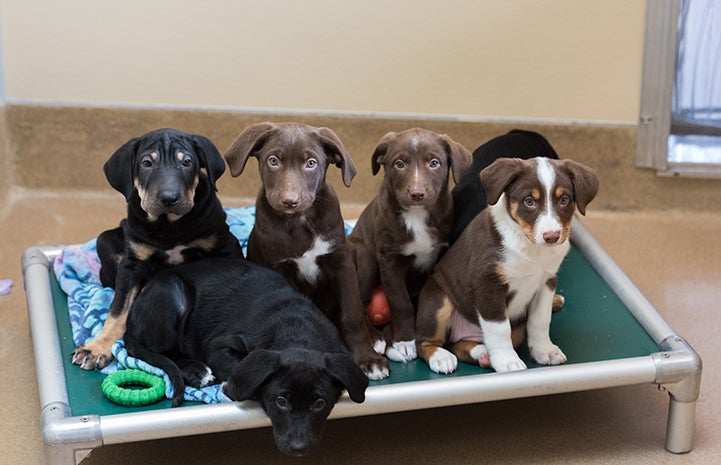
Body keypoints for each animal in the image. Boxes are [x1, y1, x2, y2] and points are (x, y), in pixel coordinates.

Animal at [71, 127, 243, 370]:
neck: (168, 225)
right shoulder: (132, 264)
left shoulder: (225, 244)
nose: (169, 198)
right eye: (146, 163)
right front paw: (96, 348)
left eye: (187, 162)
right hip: (104, 241)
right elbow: (117, 310)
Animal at [124, 258, 368, 456]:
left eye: (319, 403)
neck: (298, 332)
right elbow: (239, 370)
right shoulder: (219, 347)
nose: (299, 448)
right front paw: (231, 387)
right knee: (164, 351)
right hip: (173, 295)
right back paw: (197, 371)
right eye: (280, 401)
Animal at [224, 123, 388, 380]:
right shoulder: (283, 269)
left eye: (311, 163)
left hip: (361, 253)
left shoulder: (341, 263)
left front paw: (367, 358)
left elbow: (352, 313)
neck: (300, 220)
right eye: (273, 161)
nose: (289, 201)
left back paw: (375, 336)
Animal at [348, 128, 472, 362]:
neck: (416, 215)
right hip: (365, 255)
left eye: (434, 163)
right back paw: (375, 339)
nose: (417, 194)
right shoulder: (390, 261)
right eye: (399, 164)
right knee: (359, 302)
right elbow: (400, 303)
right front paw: (405, 341)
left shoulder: (439, 253)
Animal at [414, 156, 600, 374]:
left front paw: (545, 350)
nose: (552, 236)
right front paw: (507, 361)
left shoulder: (546, 282)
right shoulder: (487, 284)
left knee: (459, 345)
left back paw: (483, 354)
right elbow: (499, 327)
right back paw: (441, 357)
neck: (530, 248)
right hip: (439, 300)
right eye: (529, 201)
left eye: (564, 200)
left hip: (515, 328)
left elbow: (540, 320)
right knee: (424, 342)